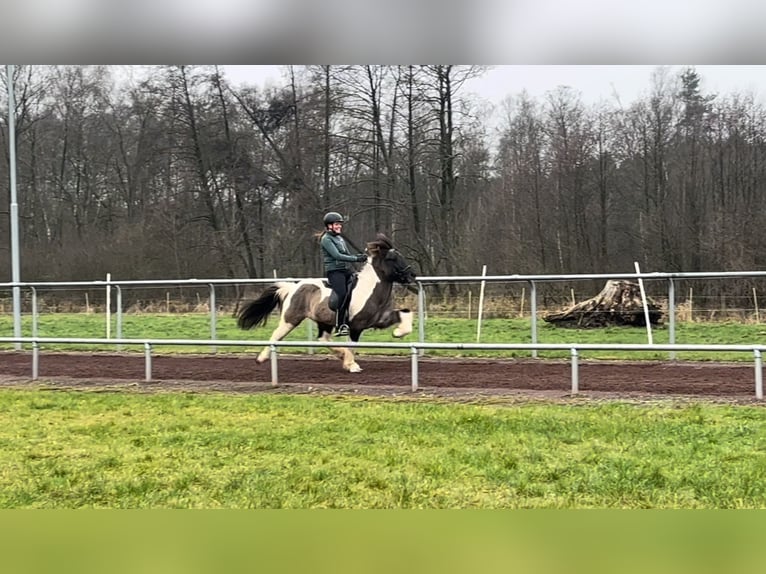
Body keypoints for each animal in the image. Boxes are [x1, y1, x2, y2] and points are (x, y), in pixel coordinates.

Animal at [240, 234, 420, 374]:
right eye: (392, 258)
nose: (412, 275)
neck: (370, 289)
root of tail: (293, 287)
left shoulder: (380, 319)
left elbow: (405, 313)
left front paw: (398, 332)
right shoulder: (356, 326)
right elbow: (352, 345)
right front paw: (351, 365)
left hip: (323, 321)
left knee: (323, 339)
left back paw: (340, 354)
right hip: (290, 319)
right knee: (276, 335)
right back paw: (261, 358)